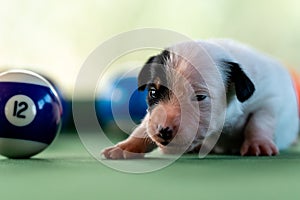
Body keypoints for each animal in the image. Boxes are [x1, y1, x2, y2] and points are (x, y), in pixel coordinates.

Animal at [102, 39, 298, 159]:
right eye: (153, 93)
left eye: (200, 97)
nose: (163, 130)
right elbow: (144, 126)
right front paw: (126, 146)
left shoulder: (269, 99)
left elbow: (259, 121)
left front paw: (258, 144)